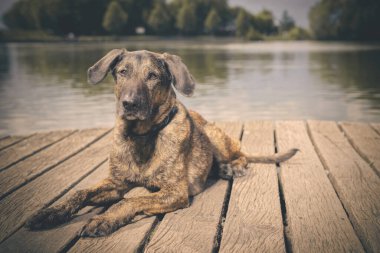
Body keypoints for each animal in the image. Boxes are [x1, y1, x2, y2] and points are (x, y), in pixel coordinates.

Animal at [26, 49, 300, 237]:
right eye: (122, 72)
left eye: (153, 76)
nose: (129, 104)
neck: (141, 135)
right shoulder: (115, 183)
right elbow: (80, 192)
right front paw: (52, 212)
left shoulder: (174, 192)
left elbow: (131, 200)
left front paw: (104, 219)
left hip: (213, 135)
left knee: (240, 154)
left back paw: (230, 168)